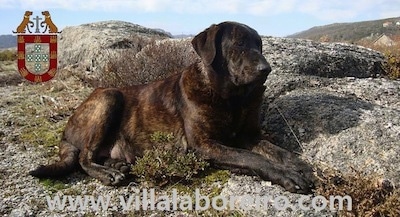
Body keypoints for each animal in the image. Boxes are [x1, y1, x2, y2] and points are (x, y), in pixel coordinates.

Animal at [29, 20, 314, 193]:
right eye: (239, 44)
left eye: (259, 44)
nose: (266, 69)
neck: (228, 98)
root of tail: (66, 131)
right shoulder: (206, 145)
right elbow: (252, 157)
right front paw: (287, 175)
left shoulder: (249, 135)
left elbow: (275, 150)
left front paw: (298, 164)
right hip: (109, 96)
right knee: (84, 158)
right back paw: (108, 174)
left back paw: (117, 166)